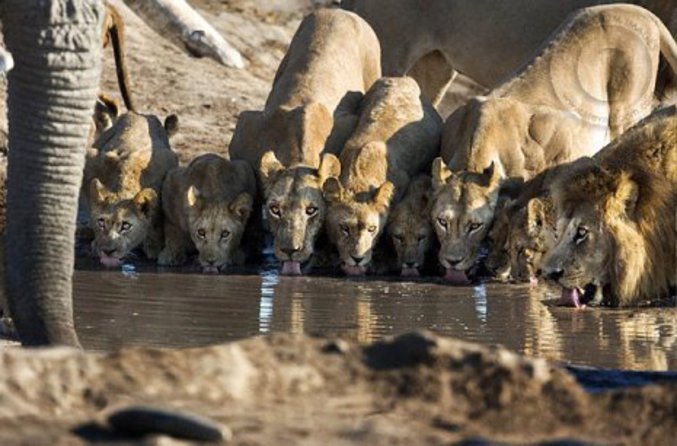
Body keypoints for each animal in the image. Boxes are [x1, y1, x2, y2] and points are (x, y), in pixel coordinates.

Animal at [83, 111, 180, 266]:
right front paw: (95, 241)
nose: (108, 251)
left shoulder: (169, 161)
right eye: (101, 222)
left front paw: (153, 245)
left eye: (125, 226)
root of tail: (139, 113)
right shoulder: (92, 160)